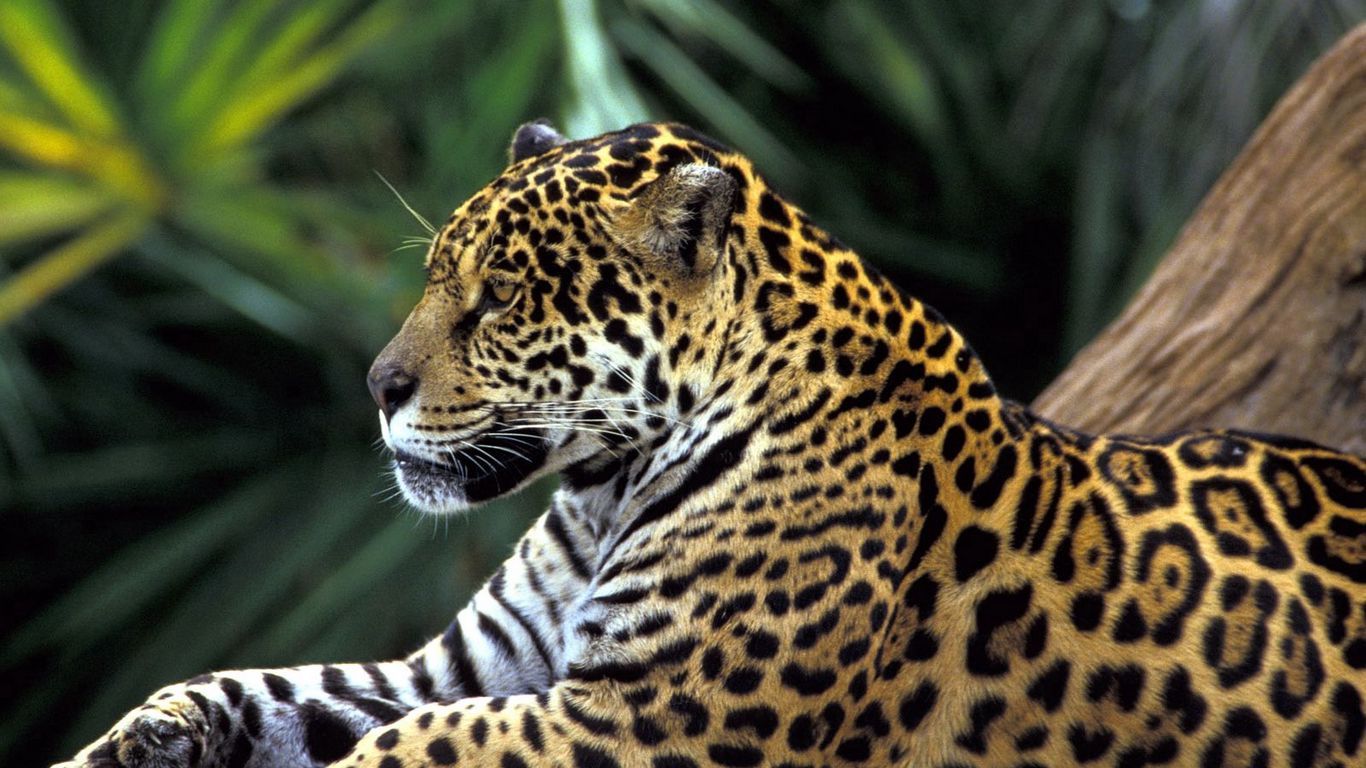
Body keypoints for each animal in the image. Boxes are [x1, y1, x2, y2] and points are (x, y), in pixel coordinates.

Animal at [58, 120, 1366, 768]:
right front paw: (134, 745)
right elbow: (265, 690)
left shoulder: (644, 720)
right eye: (435, 279)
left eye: (496, 301)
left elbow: (409, 753)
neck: (599, 491)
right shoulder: (472, 669)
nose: (375, 388)